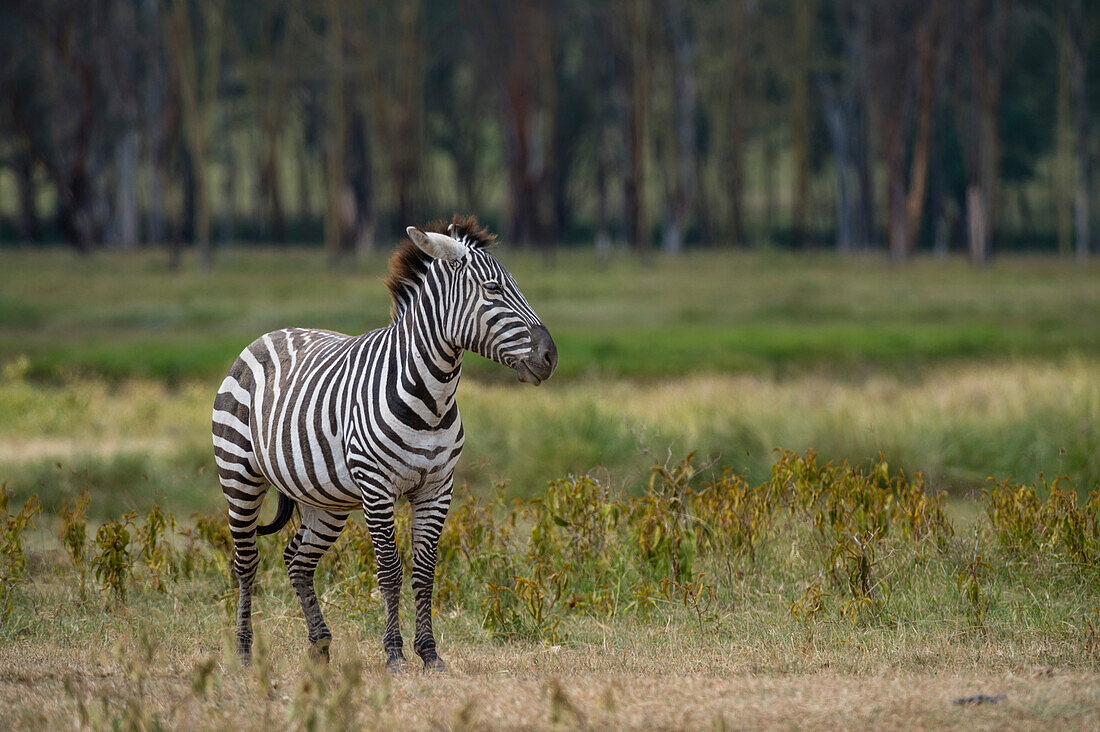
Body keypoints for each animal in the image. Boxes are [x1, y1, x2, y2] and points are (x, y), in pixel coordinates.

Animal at [212, 214, 558, 669]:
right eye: (493, 289)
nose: (550, 357)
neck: (432, 400)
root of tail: (270, 334)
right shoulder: (377, 488)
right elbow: (390, 570)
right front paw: (394, 654)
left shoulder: (437, 488)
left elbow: (424, 572)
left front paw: (429, 653)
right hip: (239, 473)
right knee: (246, 561)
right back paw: (244, 651)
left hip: (326, 500)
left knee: (297, 561)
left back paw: (320, 646)